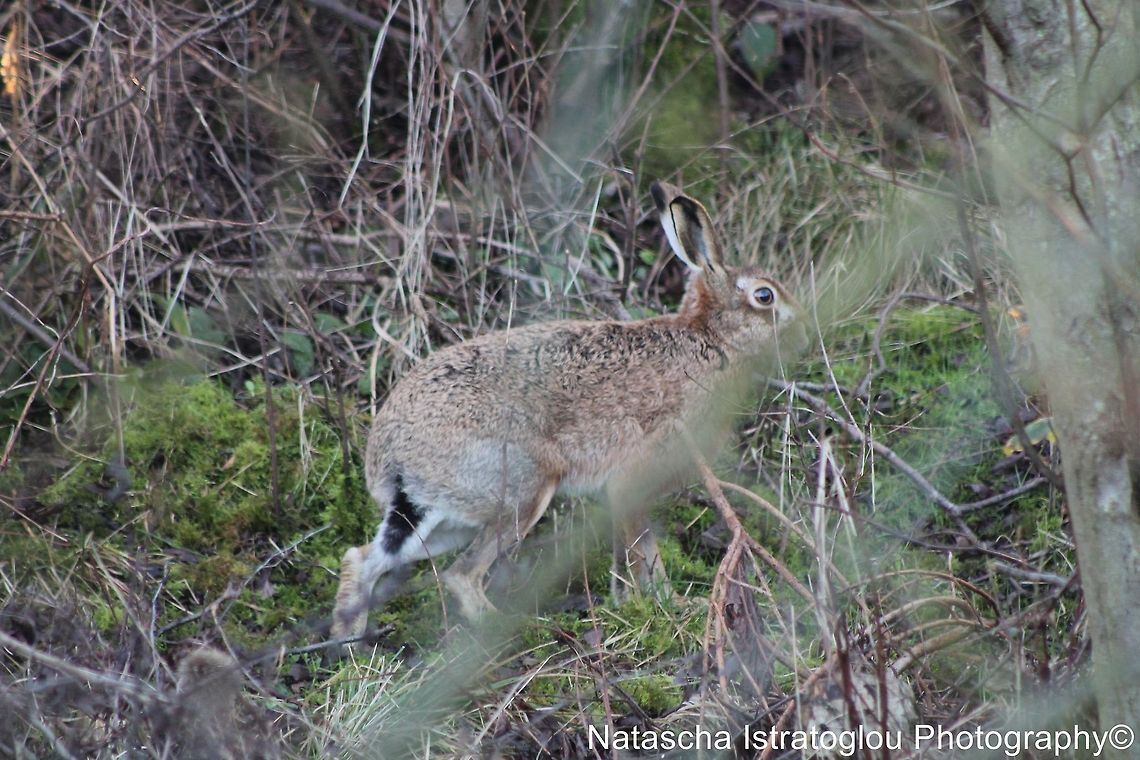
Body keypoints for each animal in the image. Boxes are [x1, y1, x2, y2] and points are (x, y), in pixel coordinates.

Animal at [330, 181, 802, 641]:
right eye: (764, 296)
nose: (800, 323)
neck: (711, 339)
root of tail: (390, 455)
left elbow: (632, 552)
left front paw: (641, 603)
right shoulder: (635, 476)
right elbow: (644, 551)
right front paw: (669, 605)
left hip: (444, 516)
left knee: (365, 558)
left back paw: (348, 644)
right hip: (522, 488)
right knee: (461, 575)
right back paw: (511, 630)